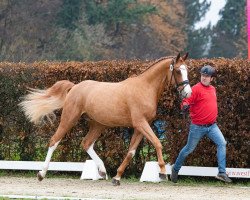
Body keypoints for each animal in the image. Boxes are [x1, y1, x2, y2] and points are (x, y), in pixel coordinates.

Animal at [19, 52, 191, 186]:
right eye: (177, 71)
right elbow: (157, 143)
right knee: (54, 141)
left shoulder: (140, 126)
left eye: (187, 70)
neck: (145, 88)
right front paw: (162, 172)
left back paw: (102, 171)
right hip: (70, 118)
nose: (187, 93)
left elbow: (131, 152)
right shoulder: (140, 123)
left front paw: (117, 177)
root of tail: (75, 87)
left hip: (98, 124)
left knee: (86, 143)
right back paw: (41, 174)